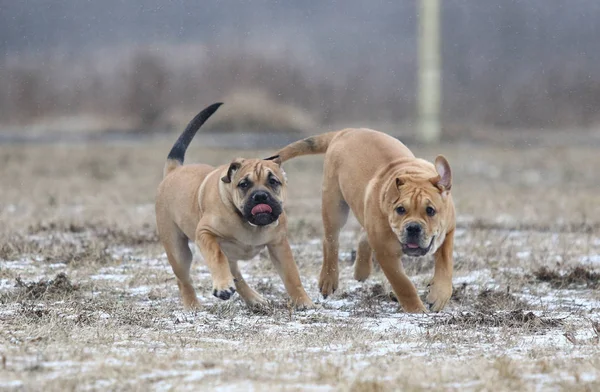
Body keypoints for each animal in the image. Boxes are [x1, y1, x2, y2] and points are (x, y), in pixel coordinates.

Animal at [155, 102, 314, 310]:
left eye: (273, 181)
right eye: (244, 184)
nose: (260, 196)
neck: (249, 224)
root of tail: (174, 170)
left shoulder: (279, 244)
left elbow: (291, 276)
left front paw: (304, 302)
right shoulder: (205, 234)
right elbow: (217, 256)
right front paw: (222, 286)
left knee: (237, 276)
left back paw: (254, 299)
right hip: (177, 250)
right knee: (184, 280)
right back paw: (193, 305)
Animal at [268, 129, 454, 312]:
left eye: (430, 210)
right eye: (400, 209)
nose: (413, 227)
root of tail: (345, 131)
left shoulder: (448, 231)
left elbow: (445, 263)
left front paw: (439, 295)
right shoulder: (386, 254)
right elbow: (403, 283)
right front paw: (416, 310)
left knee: (363, 235)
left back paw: (361, 271)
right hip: (335, 206)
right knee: (331, 241)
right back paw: (328, 279)